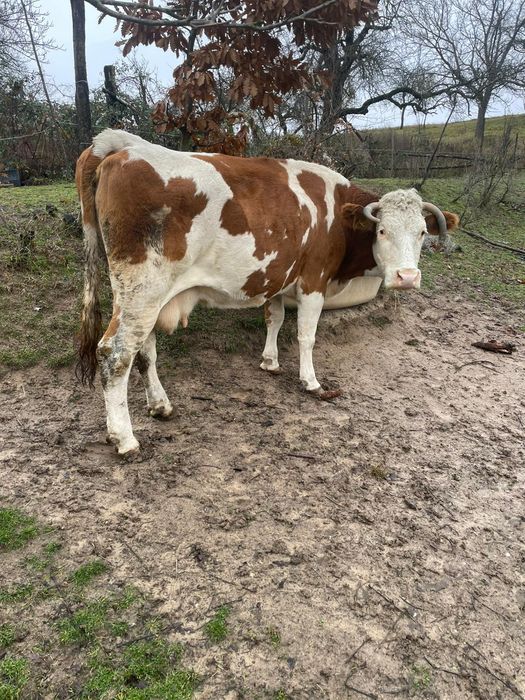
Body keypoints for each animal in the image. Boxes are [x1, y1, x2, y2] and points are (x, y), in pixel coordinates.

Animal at [76, 129, 459, 455]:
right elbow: (306, 335)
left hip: (147, 296)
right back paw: (125, 438)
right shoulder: (314, 280)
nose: (407, 277)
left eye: (423, 232)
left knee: (145, 351)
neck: (335, 211)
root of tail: (122, 147)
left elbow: (274, 318)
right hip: (143, 287)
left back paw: (160, 406)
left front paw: (270, 361)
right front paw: (311, 381)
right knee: (115, 354)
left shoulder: (279, 275)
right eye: (381, 231)